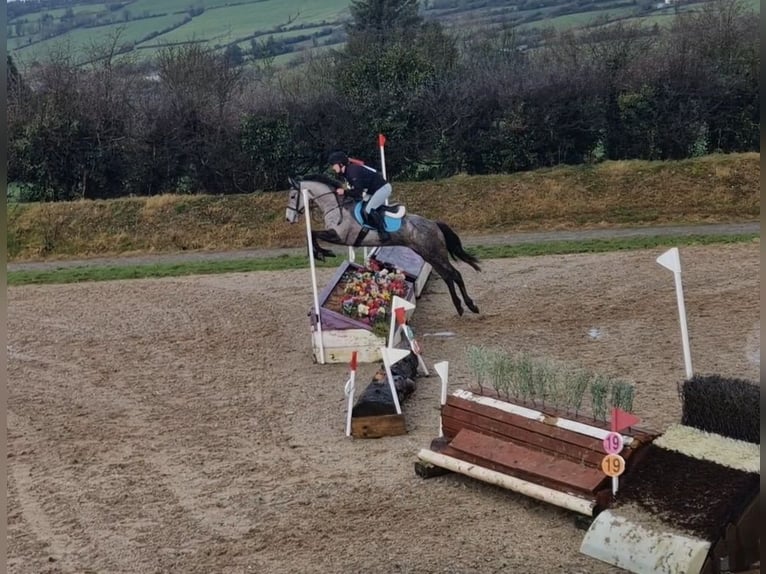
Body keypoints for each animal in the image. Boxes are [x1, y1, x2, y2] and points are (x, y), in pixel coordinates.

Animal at [285, 174, 481, 316]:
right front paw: (321, 253)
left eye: (293, 196)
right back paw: (461, 307)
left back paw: (470, 306)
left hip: (434, 253)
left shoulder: (340, 236)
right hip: (428, 254)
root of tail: (434, 223)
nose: (289, 219)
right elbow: (311, 234)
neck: (336, 206)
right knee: (448, 277)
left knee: (454, 274)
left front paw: (322, 253)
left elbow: (312, 234)